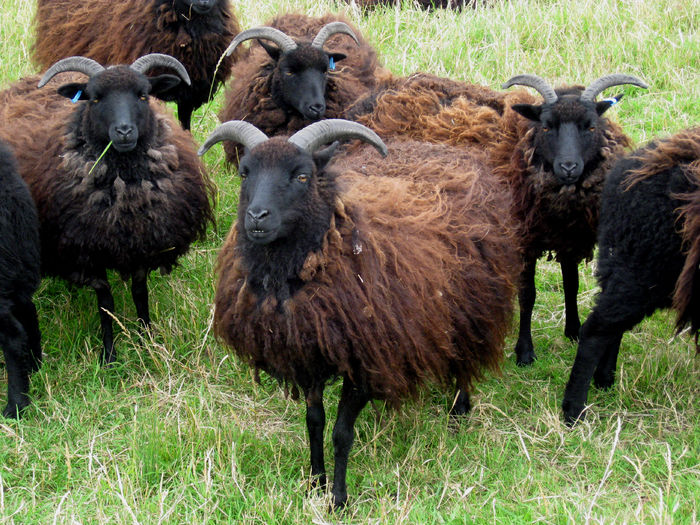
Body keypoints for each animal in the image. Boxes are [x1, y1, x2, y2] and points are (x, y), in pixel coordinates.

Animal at [0, 54, 216, 365]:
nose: (124, 131)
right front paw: (110, 355)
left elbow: (140, 293)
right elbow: (106, 304)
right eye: (95, 98)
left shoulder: (143, 242)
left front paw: (146, 340)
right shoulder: (88, 249)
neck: (125, 192)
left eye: (143, 95)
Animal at [199, 119, 521, 508]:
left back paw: (459, 410)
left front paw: (338, 498)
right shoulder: (308, 357)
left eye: (302, 176)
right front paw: (316, 482)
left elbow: (341, 433)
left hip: (476, 304)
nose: (257, 217)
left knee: (468, 353)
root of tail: (453, 150)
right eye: (245, 173)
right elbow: (315, 422)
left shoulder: (367, 362)